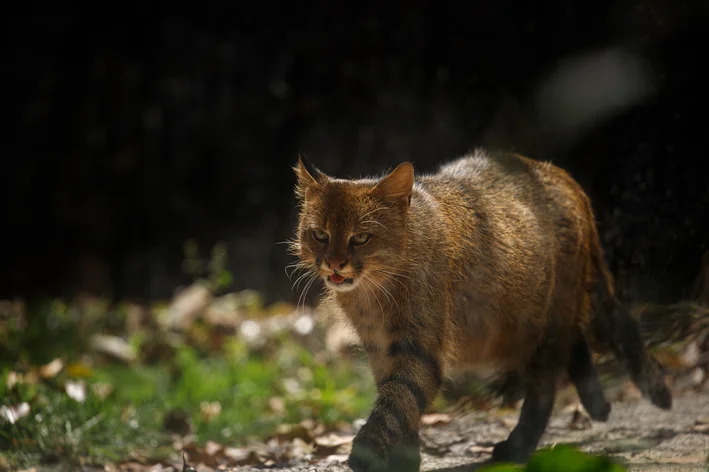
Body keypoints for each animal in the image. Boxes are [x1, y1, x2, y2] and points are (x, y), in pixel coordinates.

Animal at [288, 149, 668, 470]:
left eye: (361, 238)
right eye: (319, 235)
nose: (335, 263)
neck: (373, 294)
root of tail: (557, 173)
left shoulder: (420, 347)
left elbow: (398, 401)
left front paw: (367, 452)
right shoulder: (381, 348)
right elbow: (399, 403)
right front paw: (404, 458)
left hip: (546, 320)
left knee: (547, 385)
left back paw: (519, 446)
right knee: (575, 343)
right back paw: (595, 402)